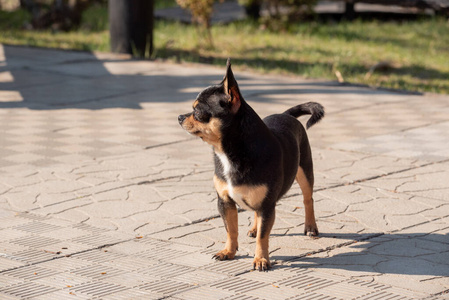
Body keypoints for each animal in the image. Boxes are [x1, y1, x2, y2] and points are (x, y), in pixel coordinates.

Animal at [177, 59, 324, 272]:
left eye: (197, 111)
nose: (180, 117)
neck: (228, 154)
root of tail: (286, 114)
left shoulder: (267, 205)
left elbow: (264, 236)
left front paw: (261, 259)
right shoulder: (225, 202)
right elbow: (231, 230)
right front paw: (228, 252)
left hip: (304, 172)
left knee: (308, 199)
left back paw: (311, 227)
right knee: (256, 214)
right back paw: (254, 228)